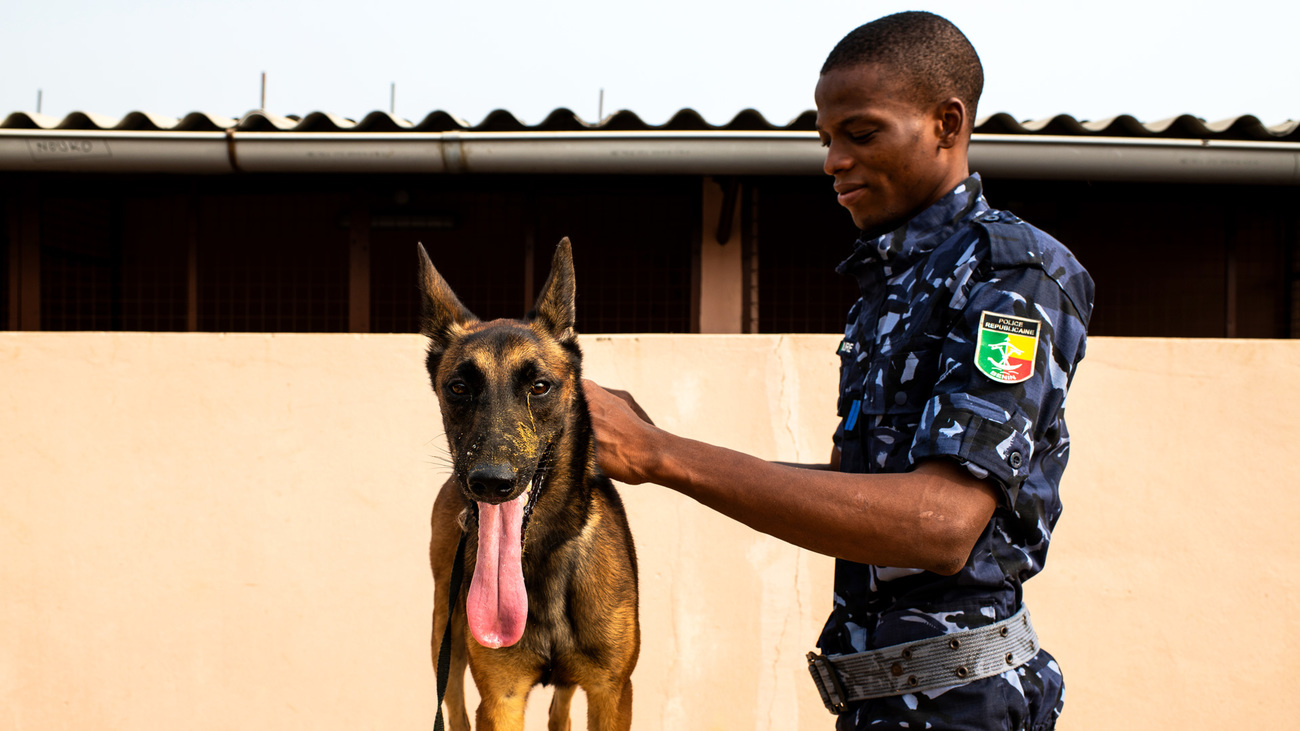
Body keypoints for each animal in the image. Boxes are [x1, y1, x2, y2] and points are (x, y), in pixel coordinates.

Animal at [423, 236, 642, 723]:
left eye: (539, 386)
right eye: (458, 388)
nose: (490, 482)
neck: (542, 552)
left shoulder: (612, 693)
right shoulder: (500, 699)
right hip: (445, 637)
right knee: (455, 709)